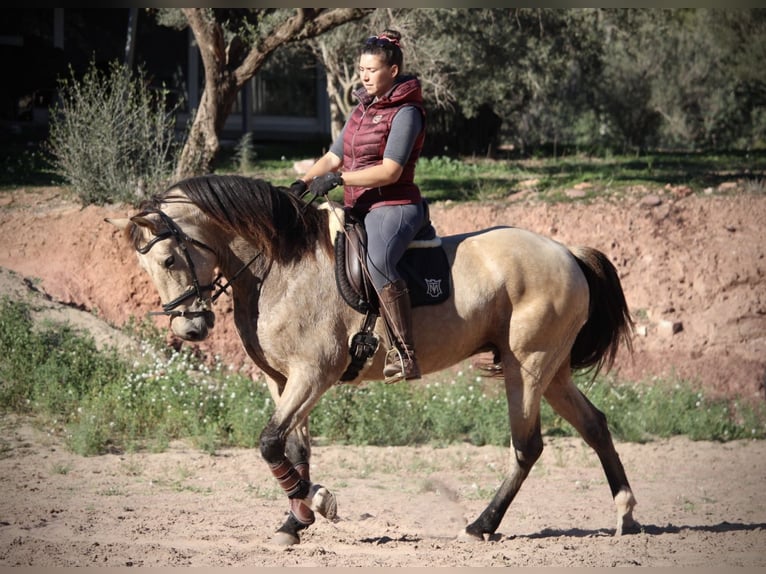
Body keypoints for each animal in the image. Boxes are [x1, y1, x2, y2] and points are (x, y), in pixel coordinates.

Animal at [105, 174, 640, 548]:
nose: (190, 329)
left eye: (169, 260)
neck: (279, 266)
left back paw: (480, 525)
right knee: (595, 425)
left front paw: (317, 503)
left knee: (527, 447)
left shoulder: (312, 375)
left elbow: (268, 443)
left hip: (526, 366)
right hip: (552, 370)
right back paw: (627, 515)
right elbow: (291, 449)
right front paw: (296, 519)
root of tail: (567, 252)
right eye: (146, 267)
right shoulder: (282, 380)